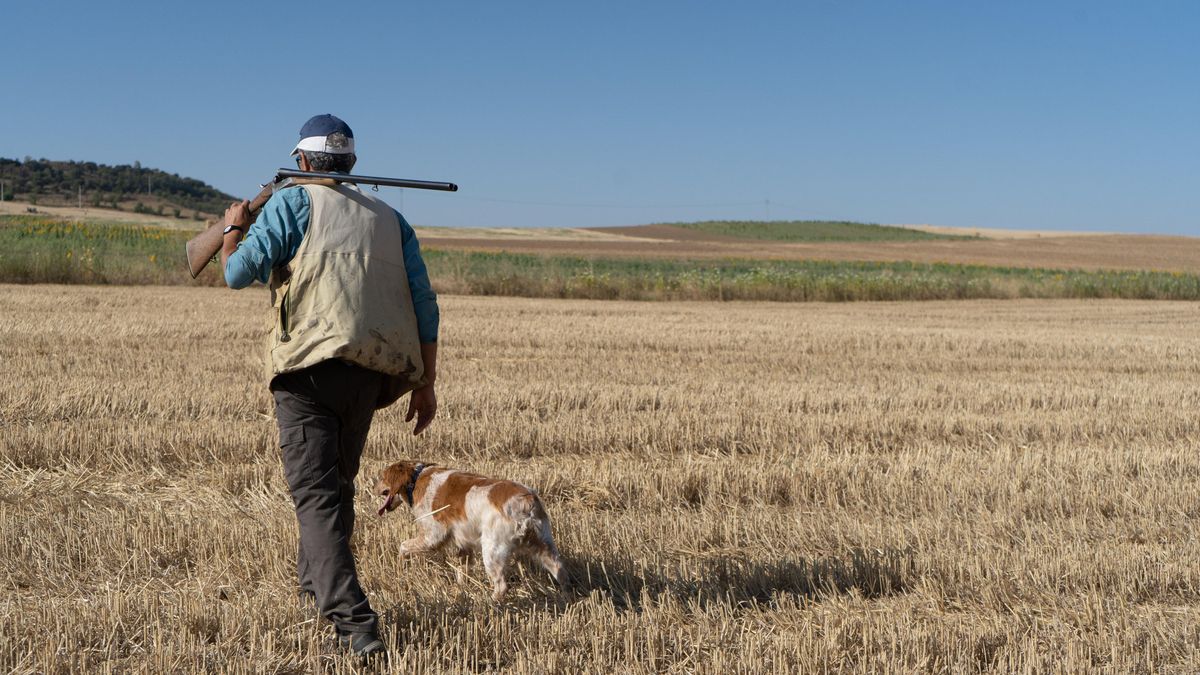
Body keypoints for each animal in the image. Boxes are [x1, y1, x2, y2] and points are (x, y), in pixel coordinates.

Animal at [372, 456, 564, 598]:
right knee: (559, 569)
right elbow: (462, 569)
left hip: (492, 550)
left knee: (501, 585)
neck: (416, 478)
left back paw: (491, 602)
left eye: (382, 477)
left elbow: (403, 545)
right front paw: (461, 588)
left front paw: (400, 563)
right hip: (544, 545)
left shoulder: (433, 535)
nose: (373, 487)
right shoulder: (463, 544)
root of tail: (527, 500)